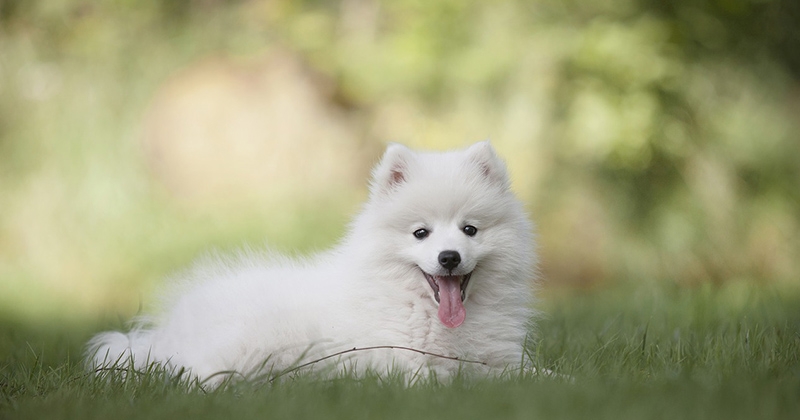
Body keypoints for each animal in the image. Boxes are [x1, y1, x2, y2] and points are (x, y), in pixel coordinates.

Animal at [86, 143, 536, 386]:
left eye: (470, 230)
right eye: (420, 233)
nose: (449, 257)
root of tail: (164, 334)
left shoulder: (501, 359)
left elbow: (532, 374)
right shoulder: (395, 359)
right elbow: (433, 376)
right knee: (202, 376)